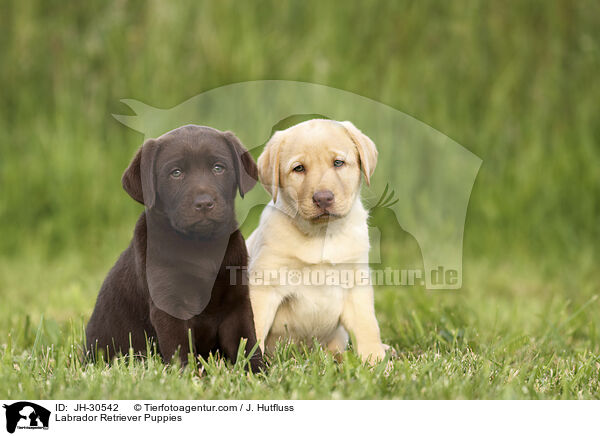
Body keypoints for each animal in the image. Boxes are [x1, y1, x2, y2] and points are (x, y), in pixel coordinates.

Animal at [246, 119, 386, 364]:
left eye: (338, 163)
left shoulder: (356, 284)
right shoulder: (264, 286)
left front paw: (375, 361)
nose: (323, 198)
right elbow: (255, 329)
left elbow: (367, 327)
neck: (321, 235)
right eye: (299, 168)